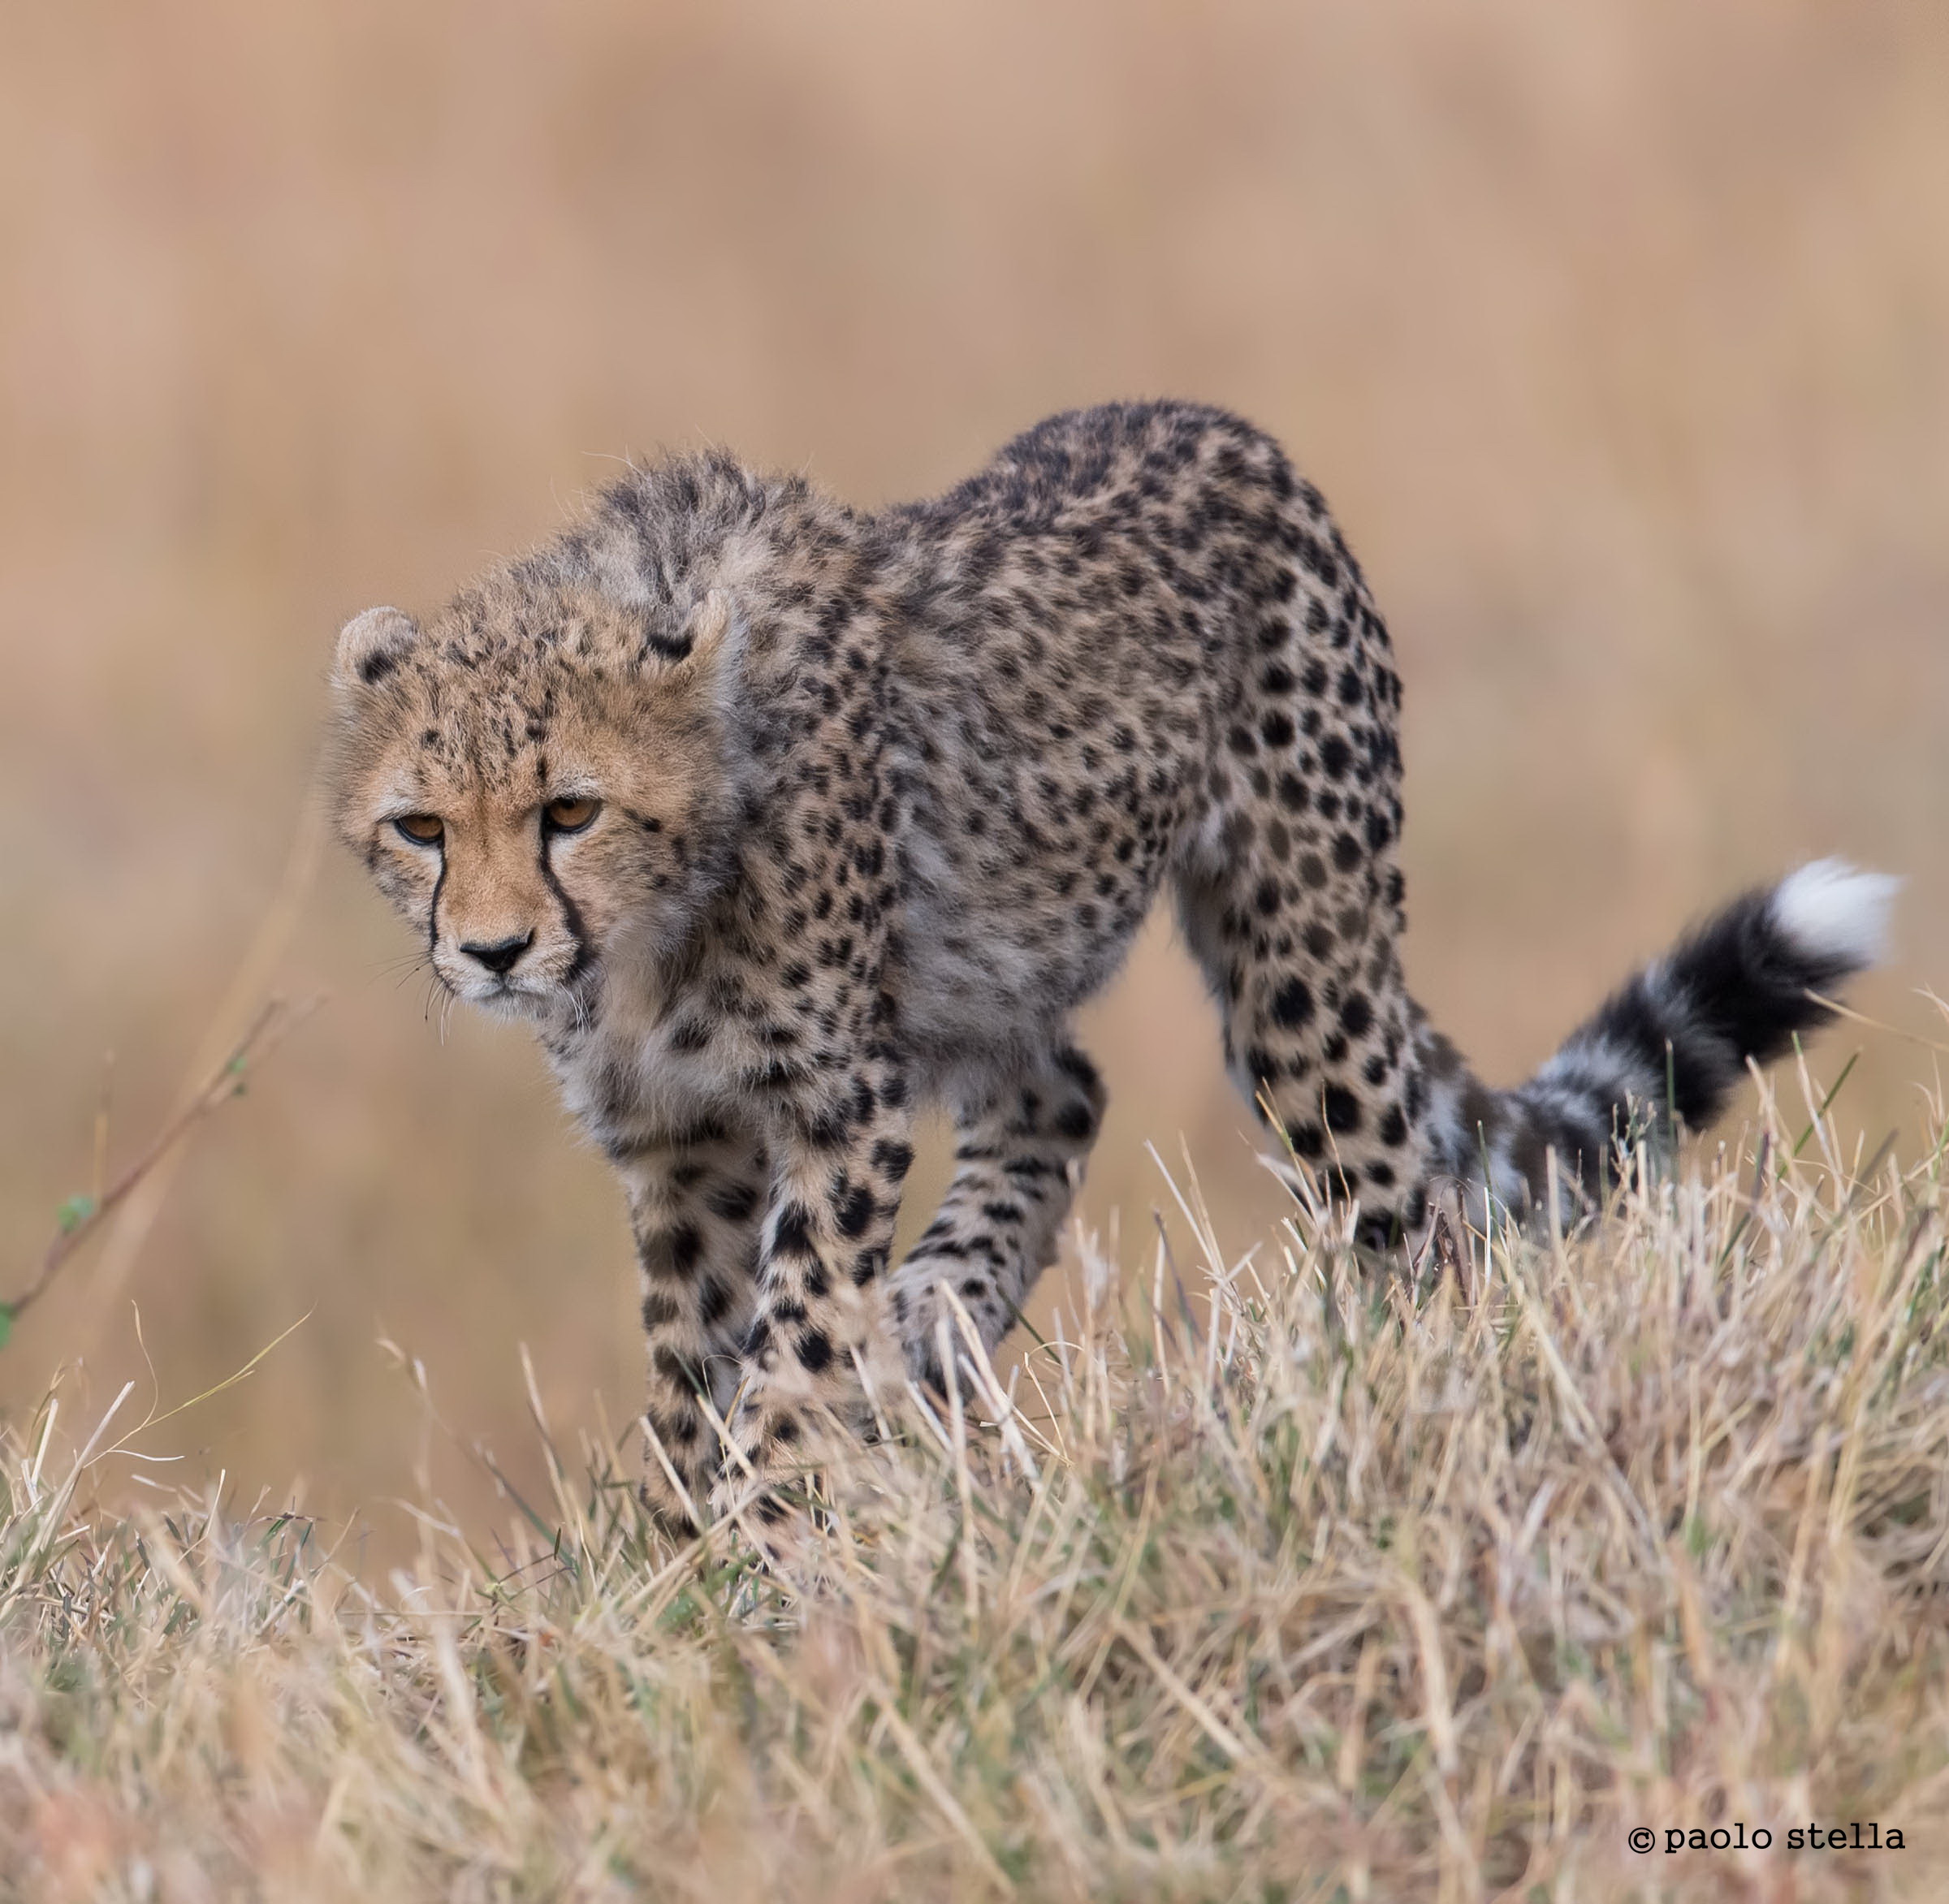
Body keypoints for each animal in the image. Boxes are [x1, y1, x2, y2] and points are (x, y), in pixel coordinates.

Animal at [326, 399, 1894, 1539]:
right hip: (995, 972)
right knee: (1064, 1094)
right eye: (421, 828)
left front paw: (763, 1547)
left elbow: (789, 1343)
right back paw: (937, 1315)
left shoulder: (837, 1107)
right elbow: (693, 1359)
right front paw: (670, 1564)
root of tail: (1215, 423)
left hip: (1301, 978)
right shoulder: (681, 1142)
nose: (492, 949)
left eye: (567, 811)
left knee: (1409, 1214)